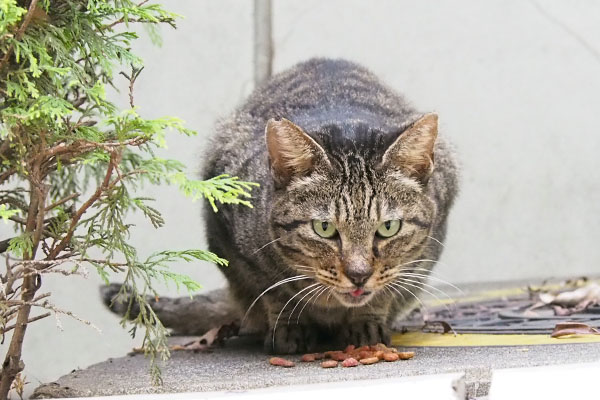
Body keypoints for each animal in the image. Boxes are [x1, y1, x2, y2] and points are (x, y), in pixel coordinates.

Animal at [202, 57, 460, 352]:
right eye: (324, 228)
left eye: (389, 227)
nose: (359, 275)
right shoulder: (242, 250)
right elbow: (275, 290)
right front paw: (290, 327)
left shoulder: (421, 255)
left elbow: (386, 288)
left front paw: (366, 323)